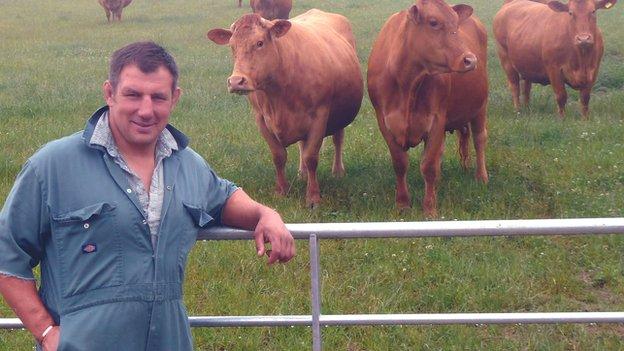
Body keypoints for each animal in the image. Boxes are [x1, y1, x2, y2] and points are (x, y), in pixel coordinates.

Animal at [207, 9, 364, 208]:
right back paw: (302, 173)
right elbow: (279, 156)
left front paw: (313, 197)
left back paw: (337, 171)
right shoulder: (261, 119)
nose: (236, 81)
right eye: (232, 46)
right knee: (302, 144)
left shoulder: (319, 116)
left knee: (338, 139)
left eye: (260, 43)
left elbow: (311, 157)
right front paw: (281, 191)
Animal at [368, 0, 490, 217]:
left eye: (456, 23)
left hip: (480, 106)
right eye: (433, 22)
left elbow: (429, 166)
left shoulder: (436, 121)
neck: (408, 82)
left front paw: (429, 208)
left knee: (479, 138)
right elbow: (400, 163)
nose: (470, 60)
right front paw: (402, 204)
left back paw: (481, 176)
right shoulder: (383, 121)